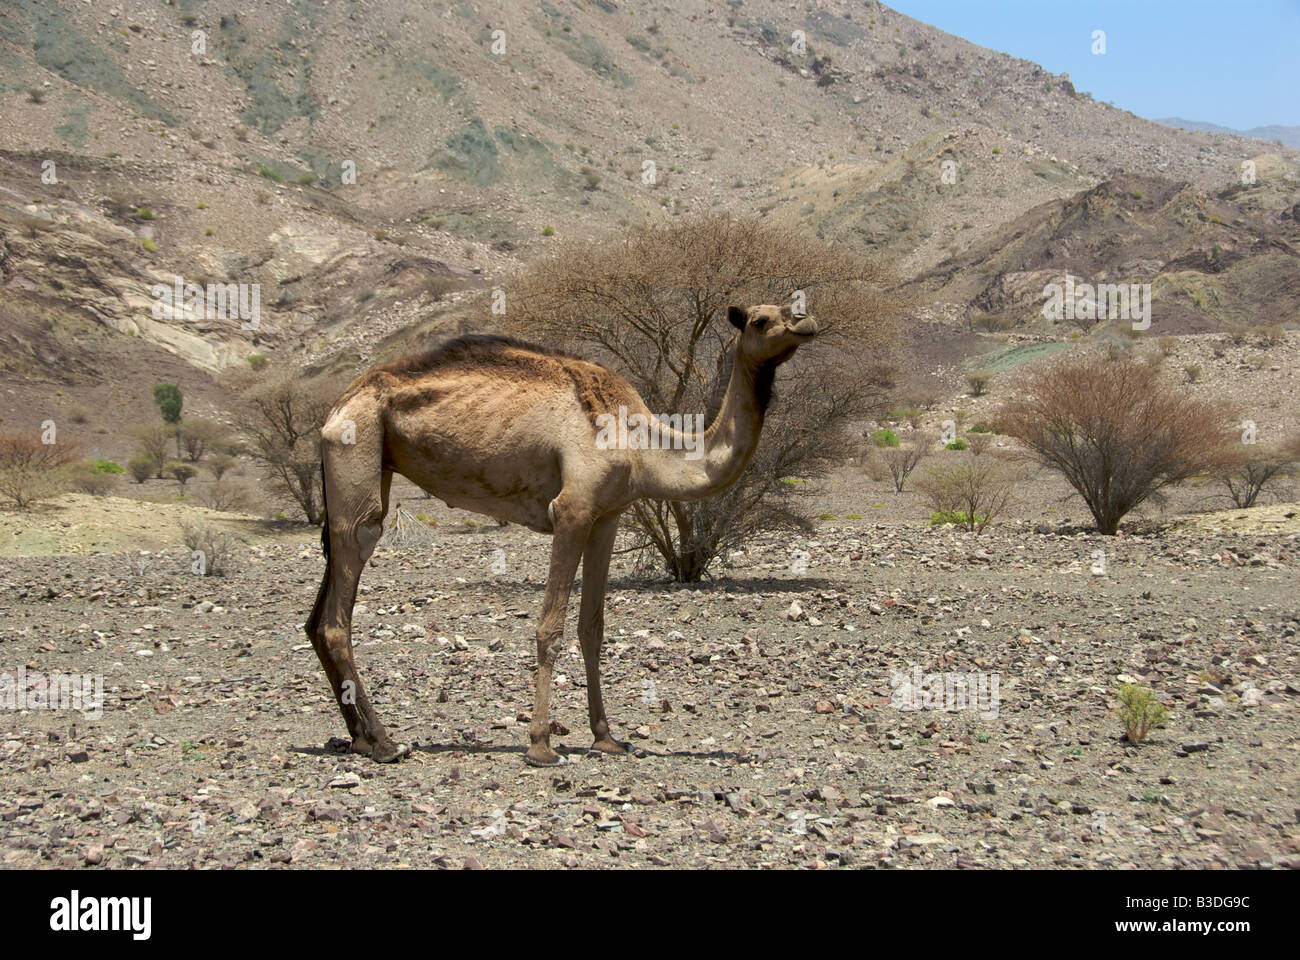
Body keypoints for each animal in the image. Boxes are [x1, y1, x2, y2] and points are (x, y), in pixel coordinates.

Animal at [304, 303, 818, 765]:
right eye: (760, 320)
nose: (804, 321)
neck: (644, 446)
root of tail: (333, 409)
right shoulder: (572, 509)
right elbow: (549, 627)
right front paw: (540, 745)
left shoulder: (607, 516)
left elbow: (593, 626)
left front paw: (606, 737)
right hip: (357, 455)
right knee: (340, 608)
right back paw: (384, 742)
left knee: (316, 618)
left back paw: (359, 738)